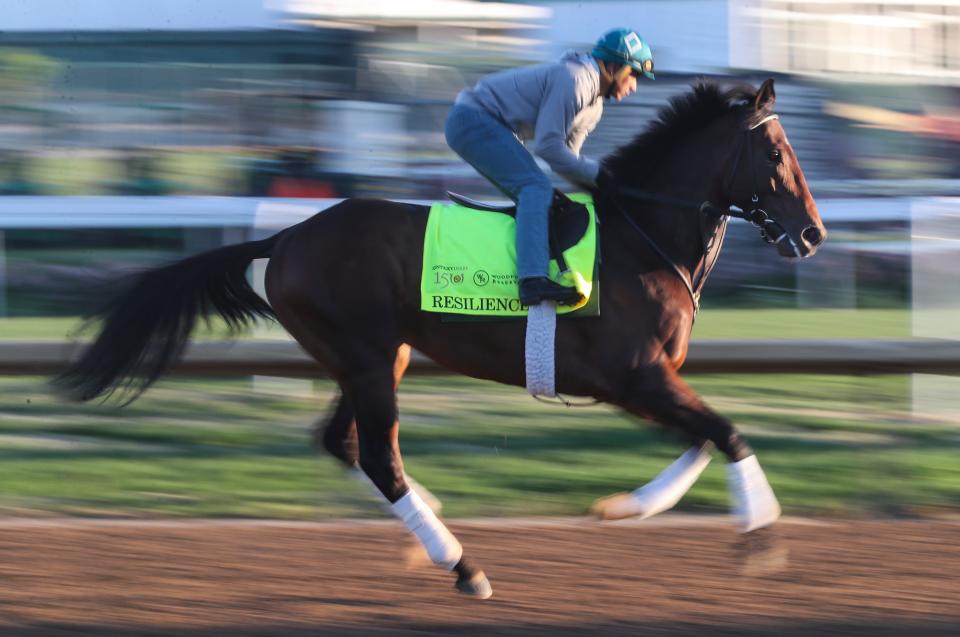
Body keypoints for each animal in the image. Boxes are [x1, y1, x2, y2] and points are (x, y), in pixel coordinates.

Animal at [56, 78, 828, 596]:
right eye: (774, 151)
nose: (815, 233)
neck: (642, 240)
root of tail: (286, 238)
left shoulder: (641, 383)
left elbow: (704, 437)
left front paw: (626, 507)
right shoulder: (635, 375)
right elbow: (728, 431)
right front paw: (761, 535)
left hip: (375, 356)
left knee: (344, 444)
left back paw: (431, 527)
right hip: (367, 358)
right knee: (379, 457)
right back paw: (461, 562)